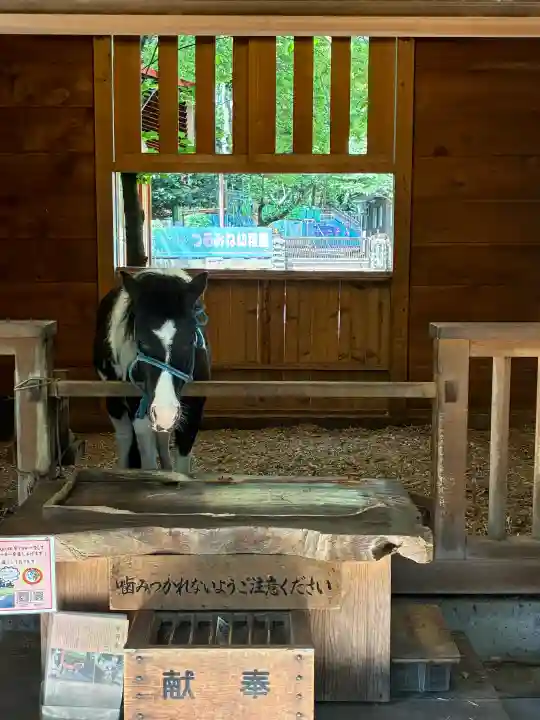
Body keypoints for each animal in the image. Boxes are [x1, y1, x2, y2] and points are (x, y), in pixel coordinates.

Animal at [93, 267, 210, 473]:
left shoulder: (194, 411)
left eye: (190, 340)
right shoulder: (140, 413)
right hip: (114, 400)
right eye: (141, 341)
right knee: (124, 436)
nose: (164, 411)